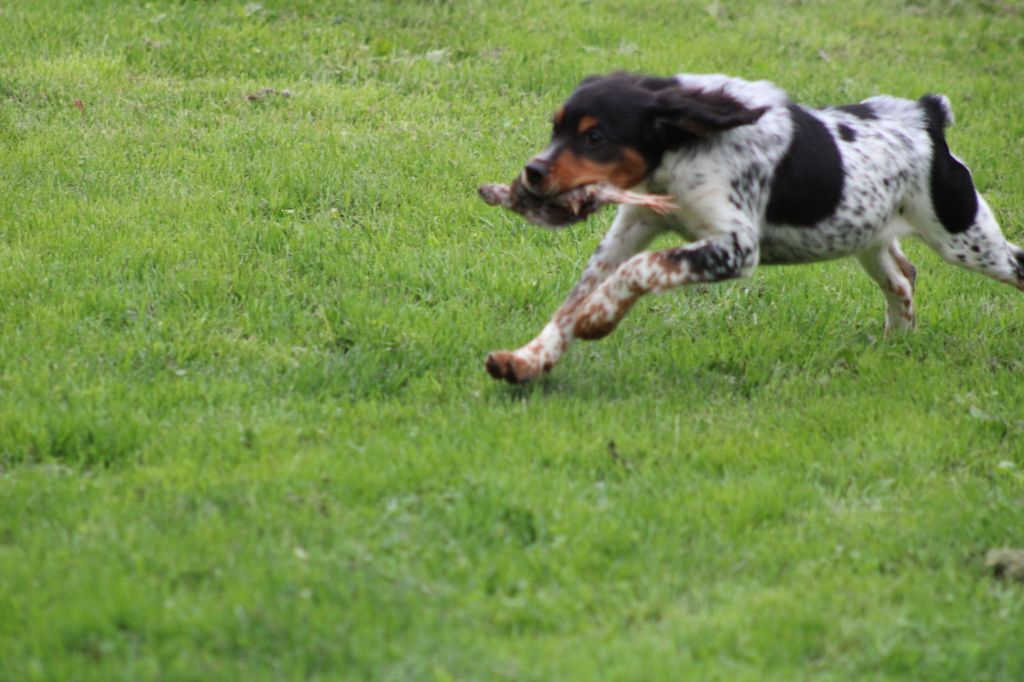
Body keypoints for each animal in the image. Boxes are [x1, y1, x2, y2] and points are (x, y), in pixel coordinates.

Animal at [483, 72, 1019, 385]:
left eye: (595, 137)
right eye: (555, 128)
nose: (532, 173)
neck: (684, 151)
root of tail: (927, 116)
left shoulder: (736, 248)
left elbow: (639, 270)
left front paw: (598, 318)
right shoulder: (631, 228)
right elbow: (574, 299)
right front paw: (528, 360)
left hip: (963, 237)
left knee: (1014, 265)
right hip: (868, 236)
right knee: (903, 278)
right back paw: (896, 346)